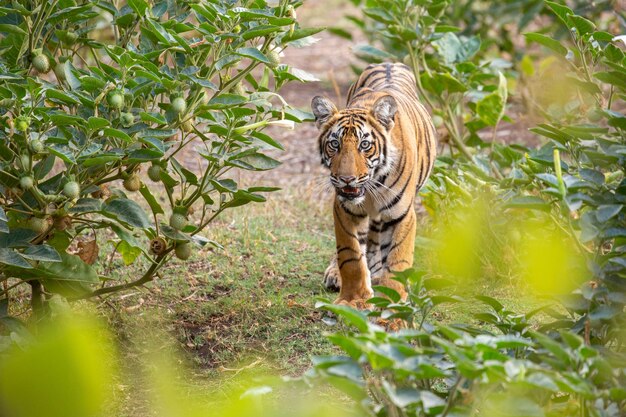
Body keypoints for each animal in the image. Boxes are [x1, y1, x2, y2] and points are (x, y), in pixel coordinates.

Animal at [310, 61, 434, 306]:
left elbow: (398, 259)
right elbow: (350, 256)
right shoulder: (344, 210)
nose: (346, 178)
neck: (373, 185)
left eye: (365, 145)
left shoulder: (401, 214)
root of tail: (389, 62)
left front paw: (393, 299)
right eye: (335, 144)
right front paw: (352, 299)